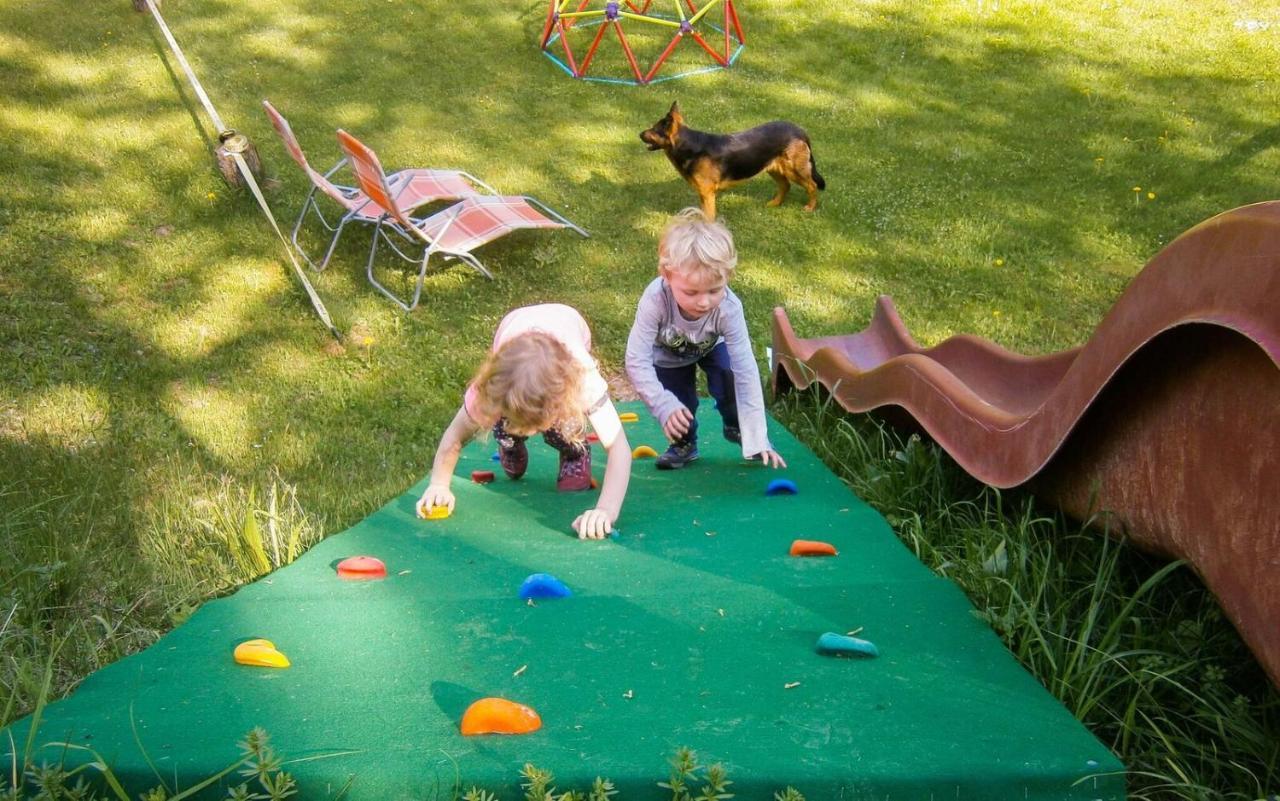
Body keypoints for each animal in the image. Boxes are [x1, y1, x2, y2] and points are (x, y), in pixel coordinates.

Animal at [640, 103, 829, 221]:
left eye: (654, 130)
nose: (639, 134)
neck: (688, 145)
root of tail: (799, 130)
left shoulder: (707, 194)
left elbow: (708, 215)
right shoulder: (704, 194)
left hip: (794, 170)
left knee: (811, 185)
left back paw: (810, 207)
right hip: (774, 169)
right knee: (785, 186)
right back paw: (774, 204)